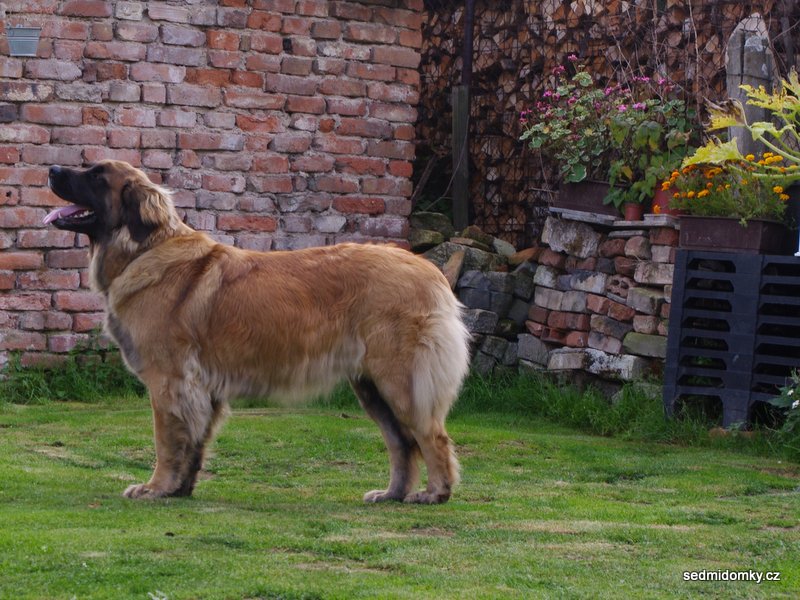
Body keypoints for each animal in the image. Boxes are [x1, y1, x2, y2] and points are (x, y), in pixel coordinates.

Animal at [44, 160, 470, 504]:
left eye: (96, 176)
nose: (52, 169)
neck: (143, 249)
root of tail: (431, 271)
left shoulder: (169, 381)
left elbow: (167, 440)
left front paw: (155, 488)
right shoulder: (200, 388)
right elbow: (193, 444)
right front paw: (181, 489)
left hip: (401, 381)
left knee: (431, 436)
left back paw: (434, 493)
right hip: (371, 386)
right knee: (402, 443)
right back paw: (392, 494)